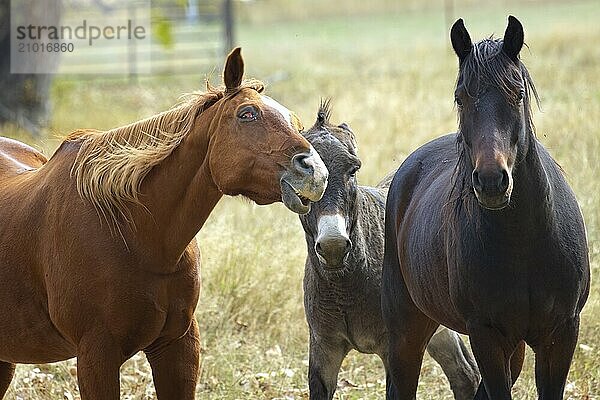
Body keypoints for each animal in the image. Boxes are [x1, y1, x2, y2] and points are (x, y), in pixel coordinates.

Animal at [0, 48, 328, 398]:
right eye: (247, 114)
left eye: (294, 121)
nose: (316, 172)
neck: (135, 233)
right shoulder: (96, 354)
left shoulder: (177, 345)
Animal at [302, 101, 480, 398]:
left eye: (353, 169)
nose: (333, 246)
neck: (344, 287)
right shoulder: (323, 349)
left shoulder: (393, 348)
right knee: (465, 374)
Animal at [382, 16, 588, 400]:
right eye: (460, 97)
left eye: (518, 94)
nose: (492, 181)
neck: (525, 242)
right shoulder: (486, 336)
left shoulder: (561, 334)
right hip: (407, 330)